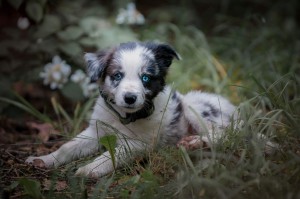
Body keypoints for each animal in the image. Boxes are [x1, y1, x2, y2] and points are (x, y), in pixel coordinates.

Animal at [25, 41, 237, 177]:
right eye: (117, 76)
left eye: (145, 78)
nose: (130, 98)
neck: (123, 116)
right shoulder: (96, 131)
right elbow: (67, 147)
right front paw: (43, 159)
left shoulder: (139, 144)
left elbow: (111, 155)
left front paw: (90, 169)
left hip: (195, 105)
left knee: (223, 134)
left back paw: (194, 142)